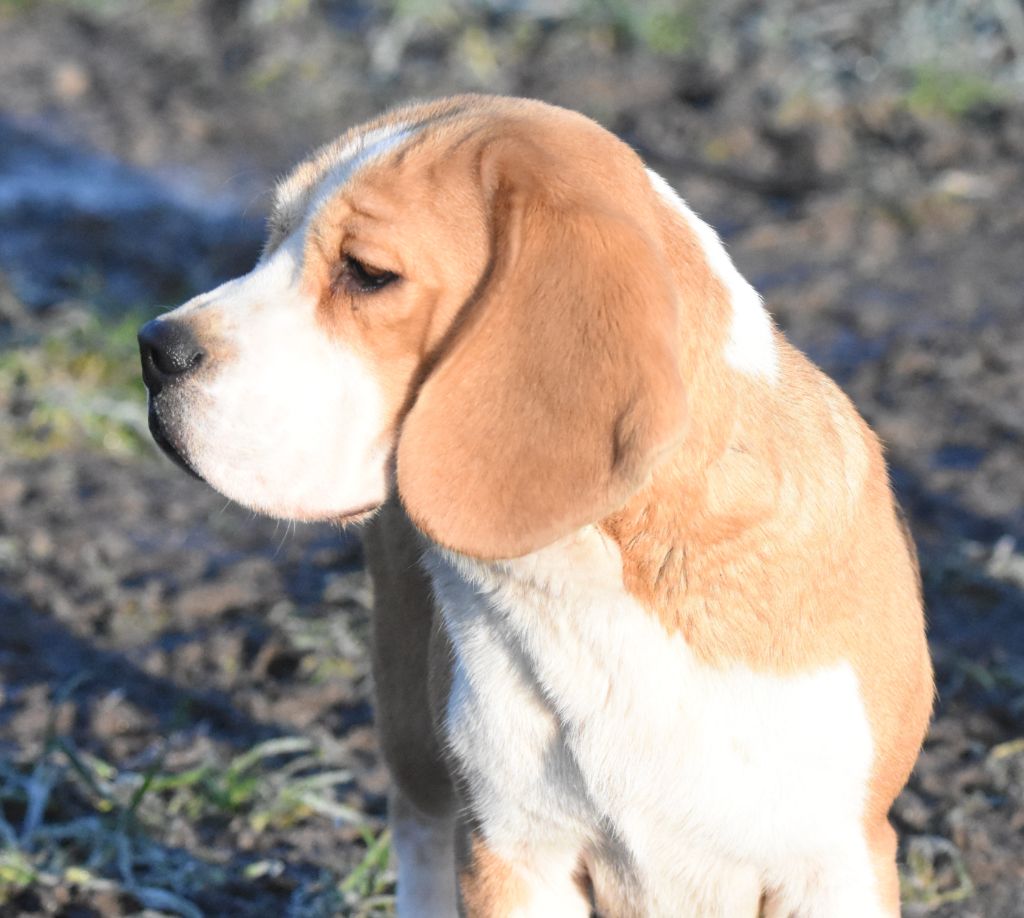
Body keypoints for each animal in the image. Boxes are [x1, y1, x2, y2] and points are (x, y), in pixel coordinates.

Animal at [142, 96, 937, 913]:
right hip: (409, 726)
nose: (154, 350)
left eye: (367, 275)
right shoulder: (514, 849)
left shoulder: (837, 864)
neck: (599, 575)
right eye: (271, 241)